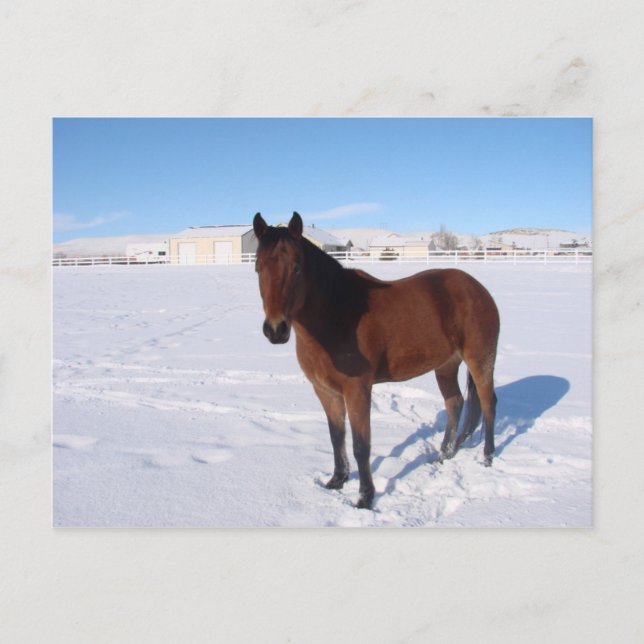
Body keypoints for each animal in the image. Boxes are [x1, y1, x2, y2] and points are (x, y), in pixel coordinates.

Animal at [253, 212, 500, 510]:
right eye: (258, 267)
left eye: (297, 268)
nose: (275, 330)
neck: (336, 315)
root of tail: (477, 288)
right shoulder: (325, 391)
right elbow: (336, 437)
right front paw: (337, 481)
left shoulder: (357, 389)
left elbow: (361, 445)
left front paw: (364, 497)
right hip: (446, 366)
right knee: (455, 403)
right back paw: (444, 454)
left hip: (480, 360)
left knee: (487, 404)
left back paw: (487, 457)